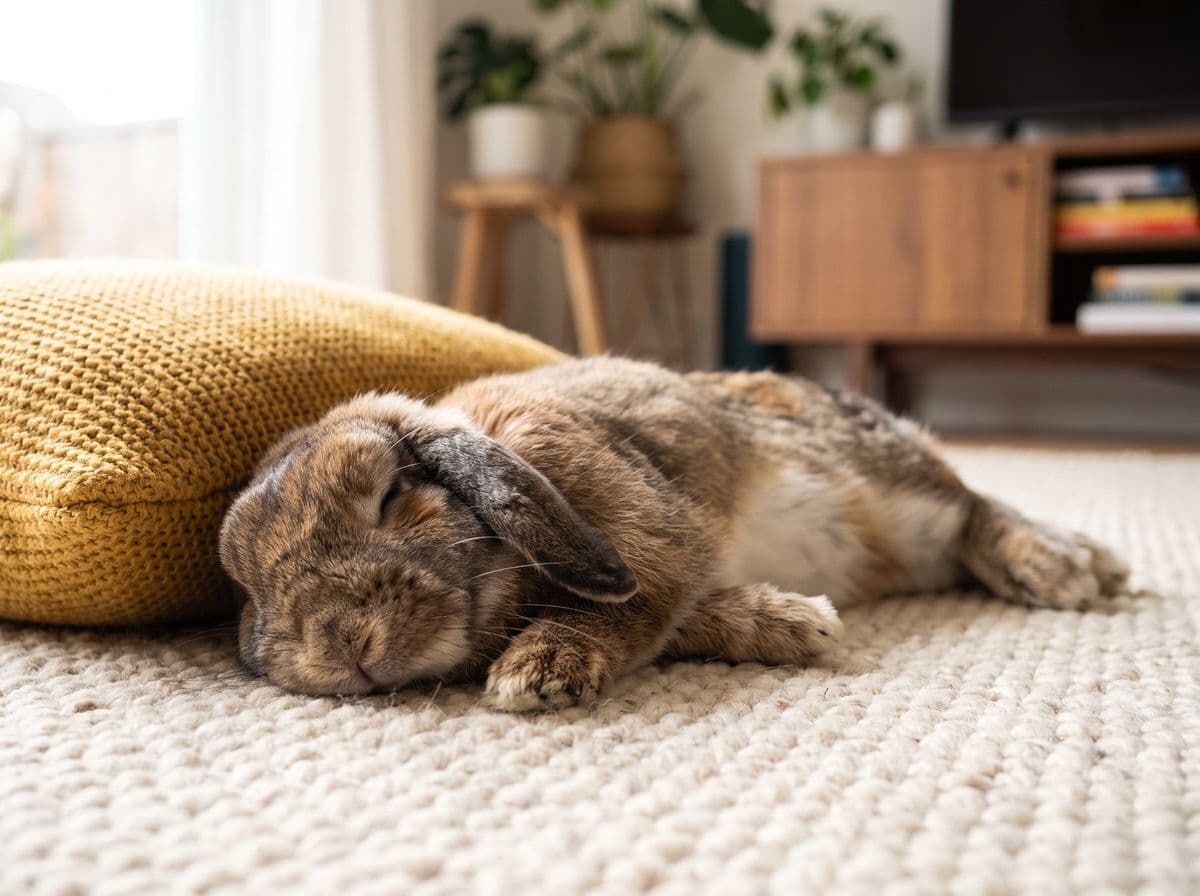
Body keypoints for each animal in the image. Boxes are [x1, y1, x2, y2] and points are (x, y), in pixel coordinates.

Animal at [218, 357, 1129, 712]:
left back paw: (1069, 566)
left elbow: (626, 606)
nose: (340, 646)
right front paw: (797, 625)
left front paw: (536, 675)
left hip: (892, 480)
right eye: (243, 582)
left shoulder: (644, 530)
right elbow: (685, 617)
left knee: (975, 504)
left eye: (391, 492)